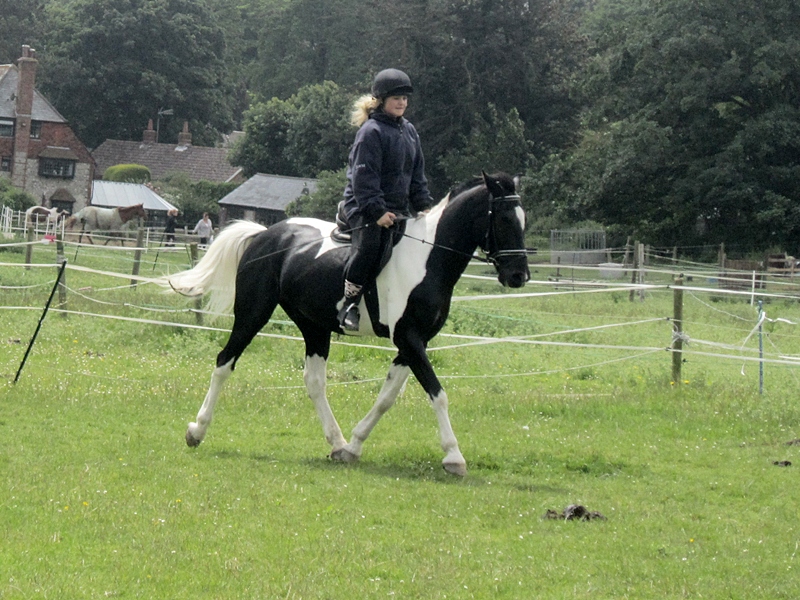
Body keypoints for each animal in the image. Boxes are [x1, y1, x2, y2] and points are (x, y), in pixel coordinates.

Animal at [166, 172, 529, 476]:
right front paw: (454, 456)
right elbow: (437, 394)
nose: (518, 276)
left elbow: (387, 396)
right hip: (253, 313)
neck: (429, 260)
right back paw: (196, 430)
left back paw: (337, 442)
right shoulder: (409, 338)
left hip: (314, 325)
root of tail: (265, 234)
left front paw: (353, 447)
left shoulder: (412, 343)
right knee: (224, 362)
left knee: (314, 381)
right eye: (504, 219)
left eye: (523, 221)